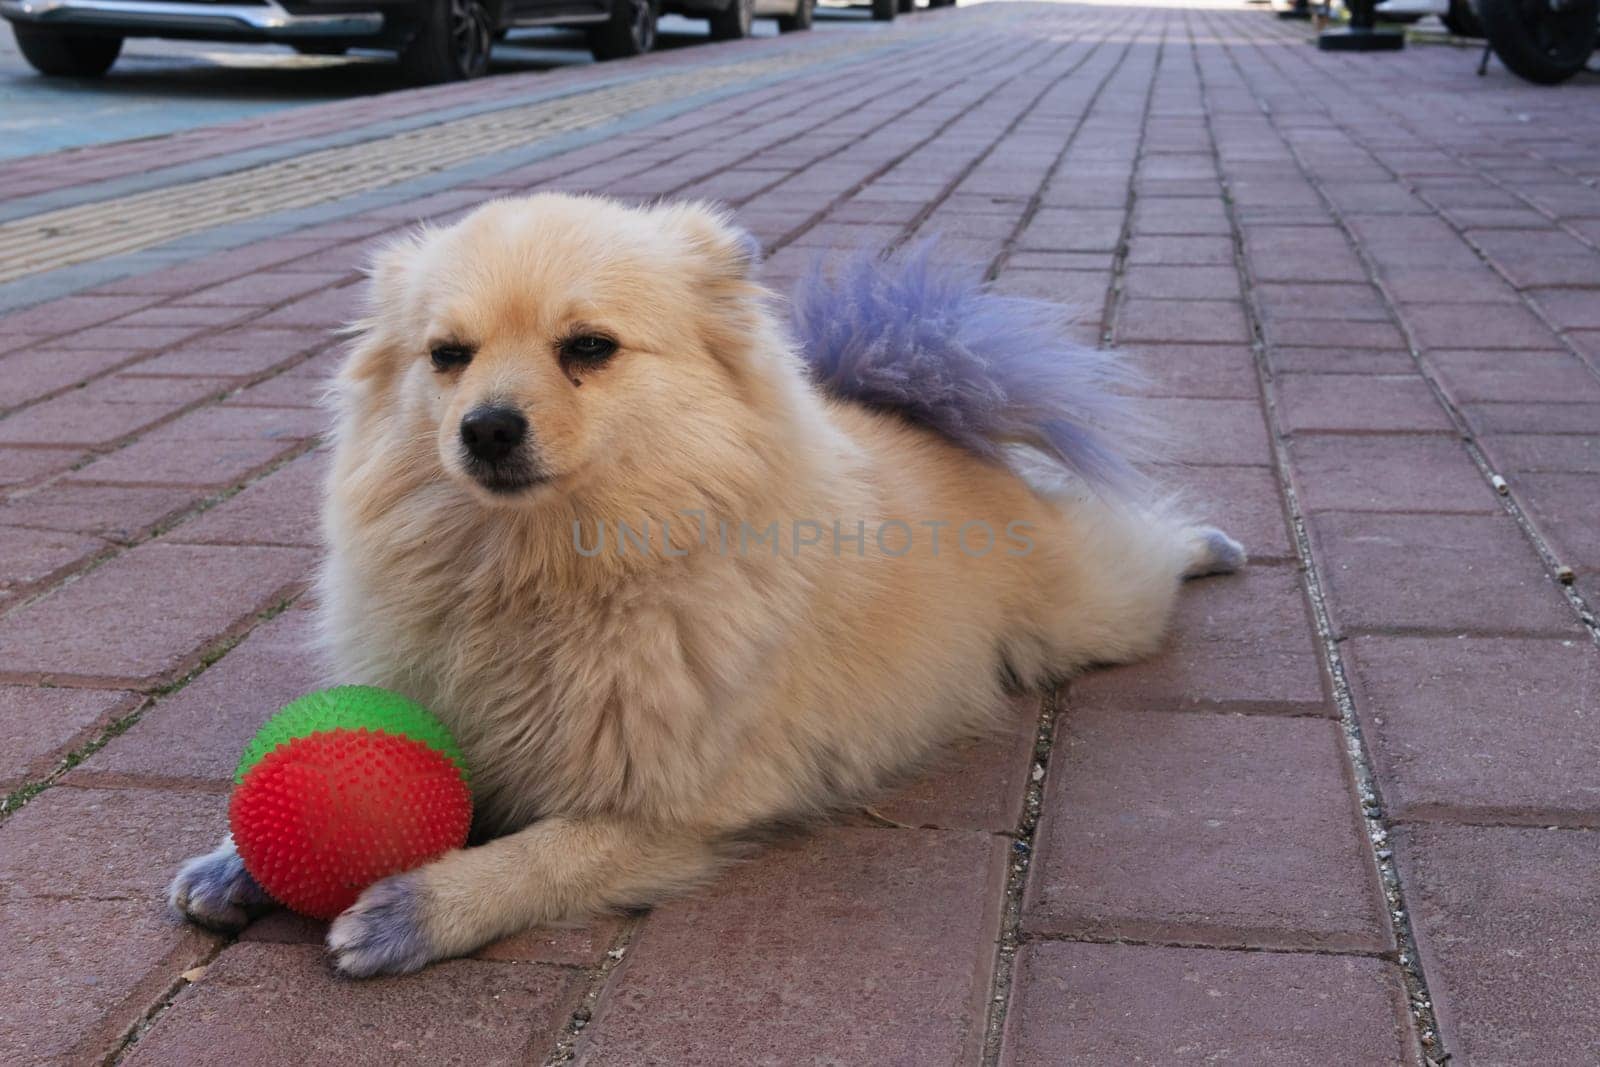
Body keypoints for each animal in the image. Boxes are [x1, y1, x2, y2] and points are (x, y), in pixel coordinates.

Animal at [175, 191, 1248, 979]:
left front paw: (421, 905)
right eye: (447, 356)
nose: (485, 426)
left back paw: (1210, 542)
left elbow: (539, 857)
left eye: (589, 347)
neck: (548, 573)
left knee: (1142, 549)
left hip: (1087, 613)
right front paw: (237, 865)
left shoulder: (680, 808)